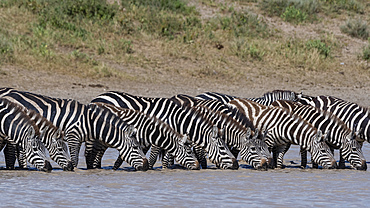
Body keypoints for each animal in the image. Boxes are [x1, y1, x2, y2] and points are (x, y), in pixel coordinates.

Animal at [1, 88, 149, 171]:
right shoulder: (73, 136)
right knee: (10, 151)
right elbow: (75, 159)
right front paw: (75, 170)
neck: (90, 122)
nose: (147, 167)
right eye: (136, 148)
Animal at [91, 92, 238, 170]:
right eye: (222, 148)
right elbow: (155, 154)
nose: (236, 165)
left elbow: (168, 153)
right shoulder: (158, 135)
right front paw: (152, 167)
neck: (176, 119)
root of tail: (96, 98)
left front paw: (166, 167)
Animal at [197, 92, 338, 169]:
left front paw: (277, 166)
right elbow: (269, 153)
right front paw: (269, 164)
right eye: (323, 151)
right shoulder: (268, 139)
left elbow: (279, 157)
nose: (335, 166)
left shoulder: (282, 143)